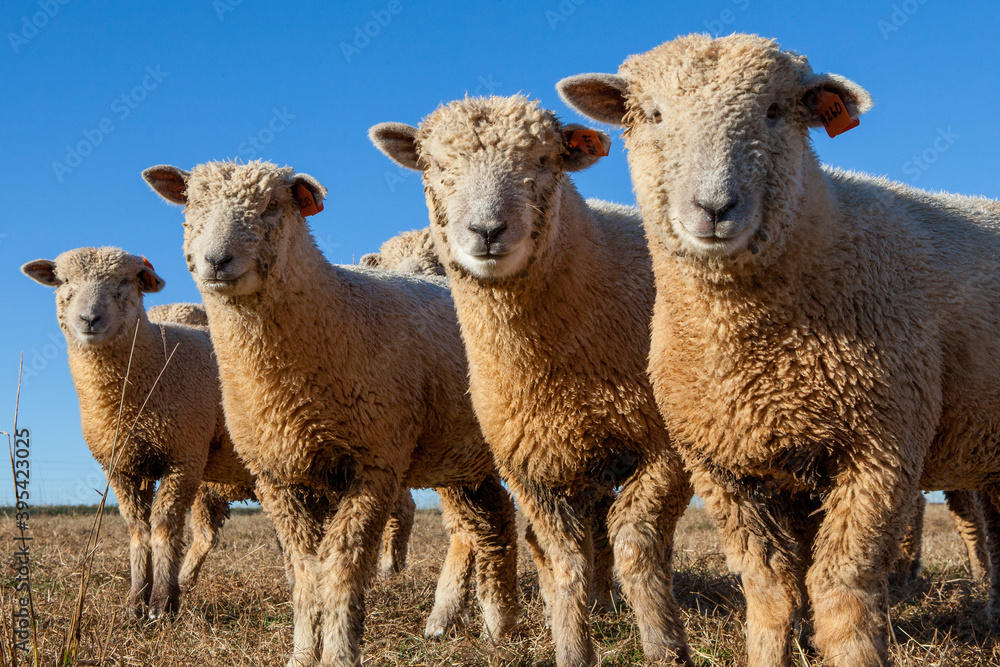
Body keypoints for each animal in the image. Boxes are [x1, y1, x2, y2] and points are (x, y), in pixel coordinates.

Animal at [21, 248, 256, 619]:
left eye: (124, 281)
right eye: (64, 280)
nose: (89, 319)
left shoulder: (184, 456)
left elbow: (164, 525)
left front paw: (160, 603)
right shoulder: (121, 465)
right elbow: (137, 527)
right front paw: (136, 600)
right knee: (207, 532)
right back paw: (185, 581)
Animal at [142, 160, 519, 667]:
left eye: (272, 205)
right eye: (191, 205)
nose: (216, 261)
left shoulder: (374, 461)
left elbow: (341, 563)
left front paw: (338, 652)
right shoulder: (278, 475)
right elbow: (303, 569)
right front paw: (303, 652)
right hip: (462, 454)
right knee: (492, 520)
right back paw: (496, 626)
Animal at [369, 94, 694, 667]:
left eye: (544, 161)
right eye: (436, 166)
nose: (486, 230)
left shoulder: (666, 445)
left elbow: (638, 542)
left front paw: (663, 645)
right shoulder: (528, 461)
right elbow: (563, 559)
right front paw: (572, 646)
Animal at [558, 32, 1000, 667]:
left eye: (773, 111)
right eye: (654, 114)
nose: (714, 208)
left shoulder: (881, 450)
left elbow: (840, 587)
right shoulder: (726, 467)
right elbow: (769, 589)